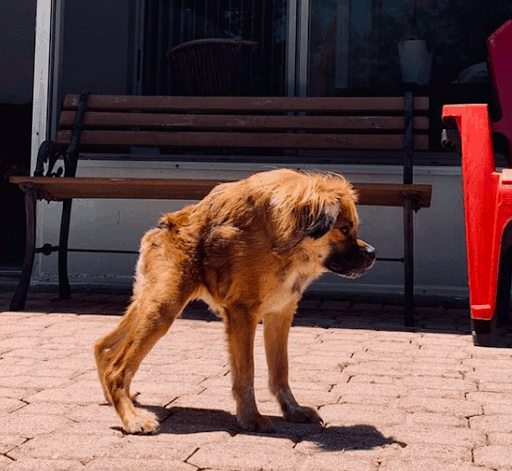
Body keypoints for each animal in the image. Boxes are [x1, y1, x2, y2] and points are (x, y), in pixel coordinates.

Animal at [94, 169, 376, 436]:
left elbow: (280, 371)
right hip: (163, 308)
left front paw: (292, 410)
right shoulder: (243, 313)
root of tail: (163, 226)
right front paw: (250, 418)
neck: (282, 235)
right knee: (117, 369)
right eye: (344, 229)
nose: (373, 253)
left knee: (103, 346)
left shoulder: (280, 314)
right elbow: (246, 373)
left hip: (150, 301)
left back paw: (116, 400)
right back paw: (131, 419)